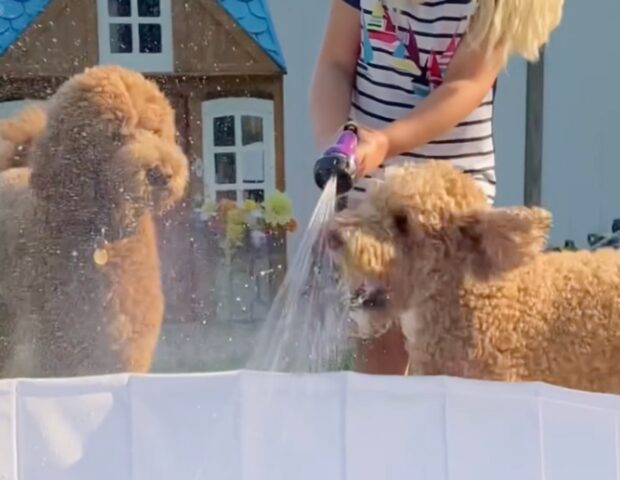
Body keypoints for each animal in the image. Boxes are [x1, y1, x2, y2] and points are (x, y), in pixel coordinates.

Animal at [0, 64, 189, 378]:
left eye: (153, 130)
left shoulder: (125, 347)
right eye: (114, 135)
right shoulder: (57, 344)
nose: (163, 174)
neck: (102, 236)